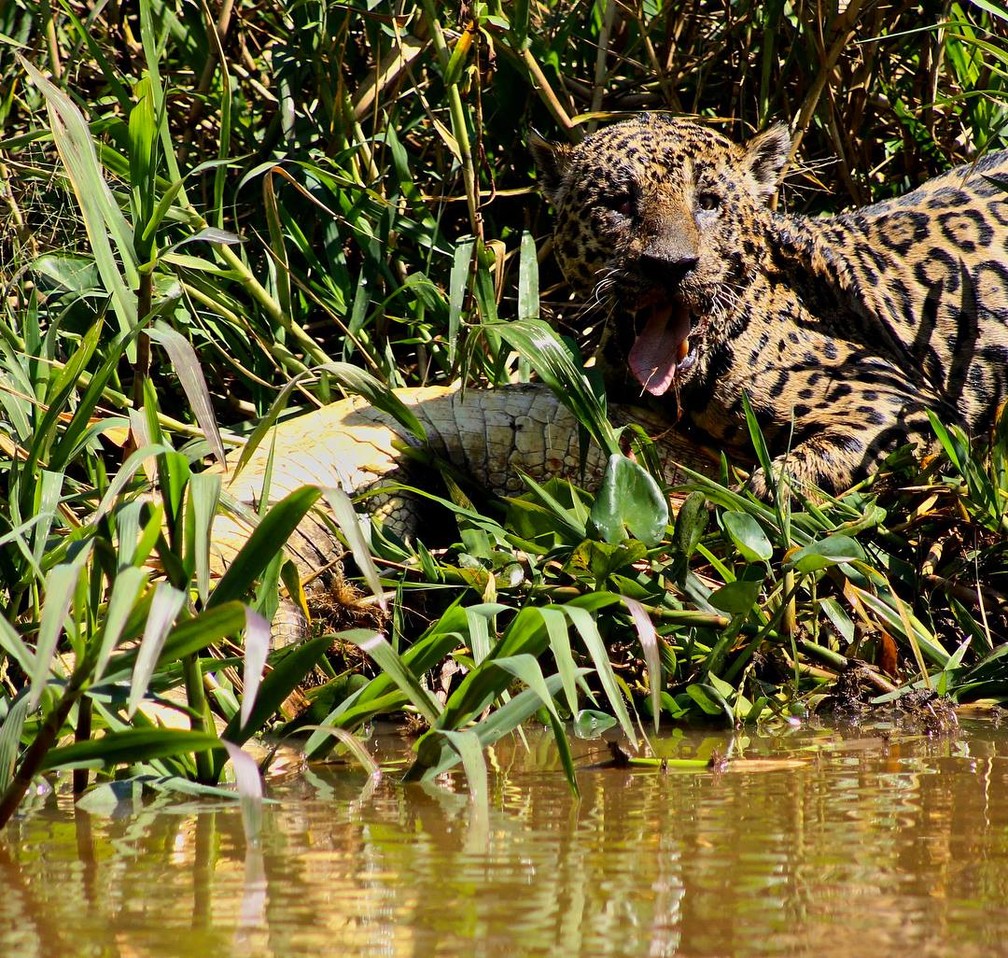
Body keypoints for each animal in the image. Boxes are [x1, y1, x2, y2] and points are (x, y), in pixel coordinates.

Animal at [531, 114, 1008, 495]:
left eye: (707, 202)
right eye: (619, 202)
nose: (670, 266)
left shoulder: (901, 400)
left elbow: (821, 459)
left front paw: (766, 490)